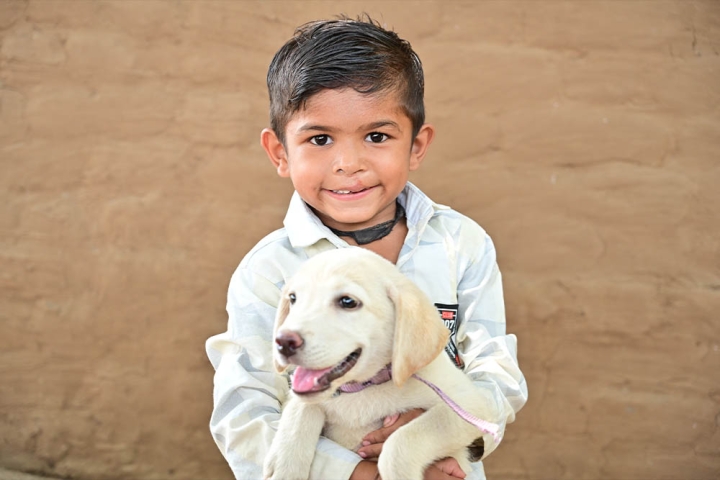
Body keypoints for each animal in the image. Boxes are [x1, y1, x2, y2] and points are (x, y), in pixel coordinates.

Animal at [264, 248, 500, 480]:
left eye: (347, 302)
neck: (362, 389)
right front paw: (284, 469)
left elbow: (401, 442)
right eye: (293, 298)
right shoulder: (299, 397)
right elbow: (298, 414)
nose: (283, 342)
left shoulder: (470, 406)